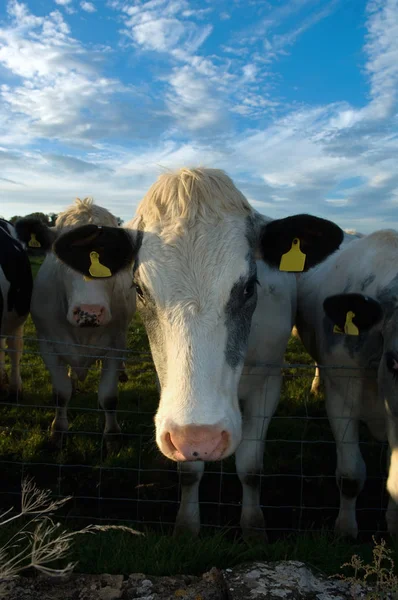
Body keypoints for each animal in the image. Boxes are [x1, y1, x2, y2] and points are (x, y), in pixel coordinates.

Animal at [14, 199, 137, 448]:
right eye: (62, 255)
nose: (89, 313)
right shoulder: (47, 344)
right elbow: (61, 393)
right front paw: (58, 431)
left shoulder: (115, 344)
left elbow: (109, 396)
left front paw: (112, 435)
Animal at [49, 168, 342, 540]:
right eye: (139, 290)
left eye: (249, 287)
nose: (200, 438)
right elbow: (189, 471)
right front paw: (187, 526)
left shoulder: (268, 383)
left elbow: (250, 467)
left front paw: (253, 528)